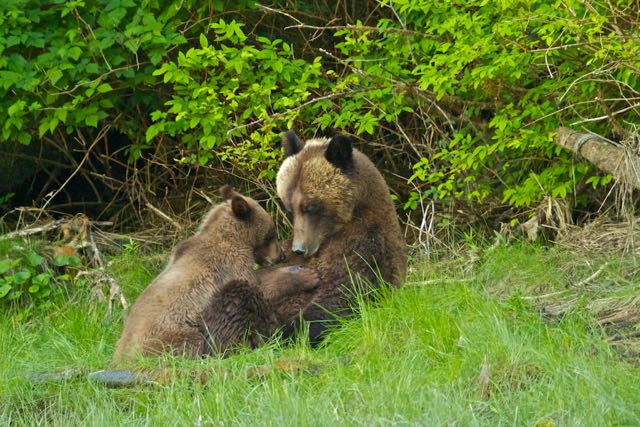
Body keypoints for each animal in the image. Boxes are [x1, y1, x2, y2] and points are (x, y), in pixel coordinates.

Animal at [262, 132, 408, 346]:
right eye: (289, 208)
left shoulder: (365, 246)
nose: (299, 249)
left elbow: (338, 295)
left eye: (310, 206)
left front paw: (286, 332)